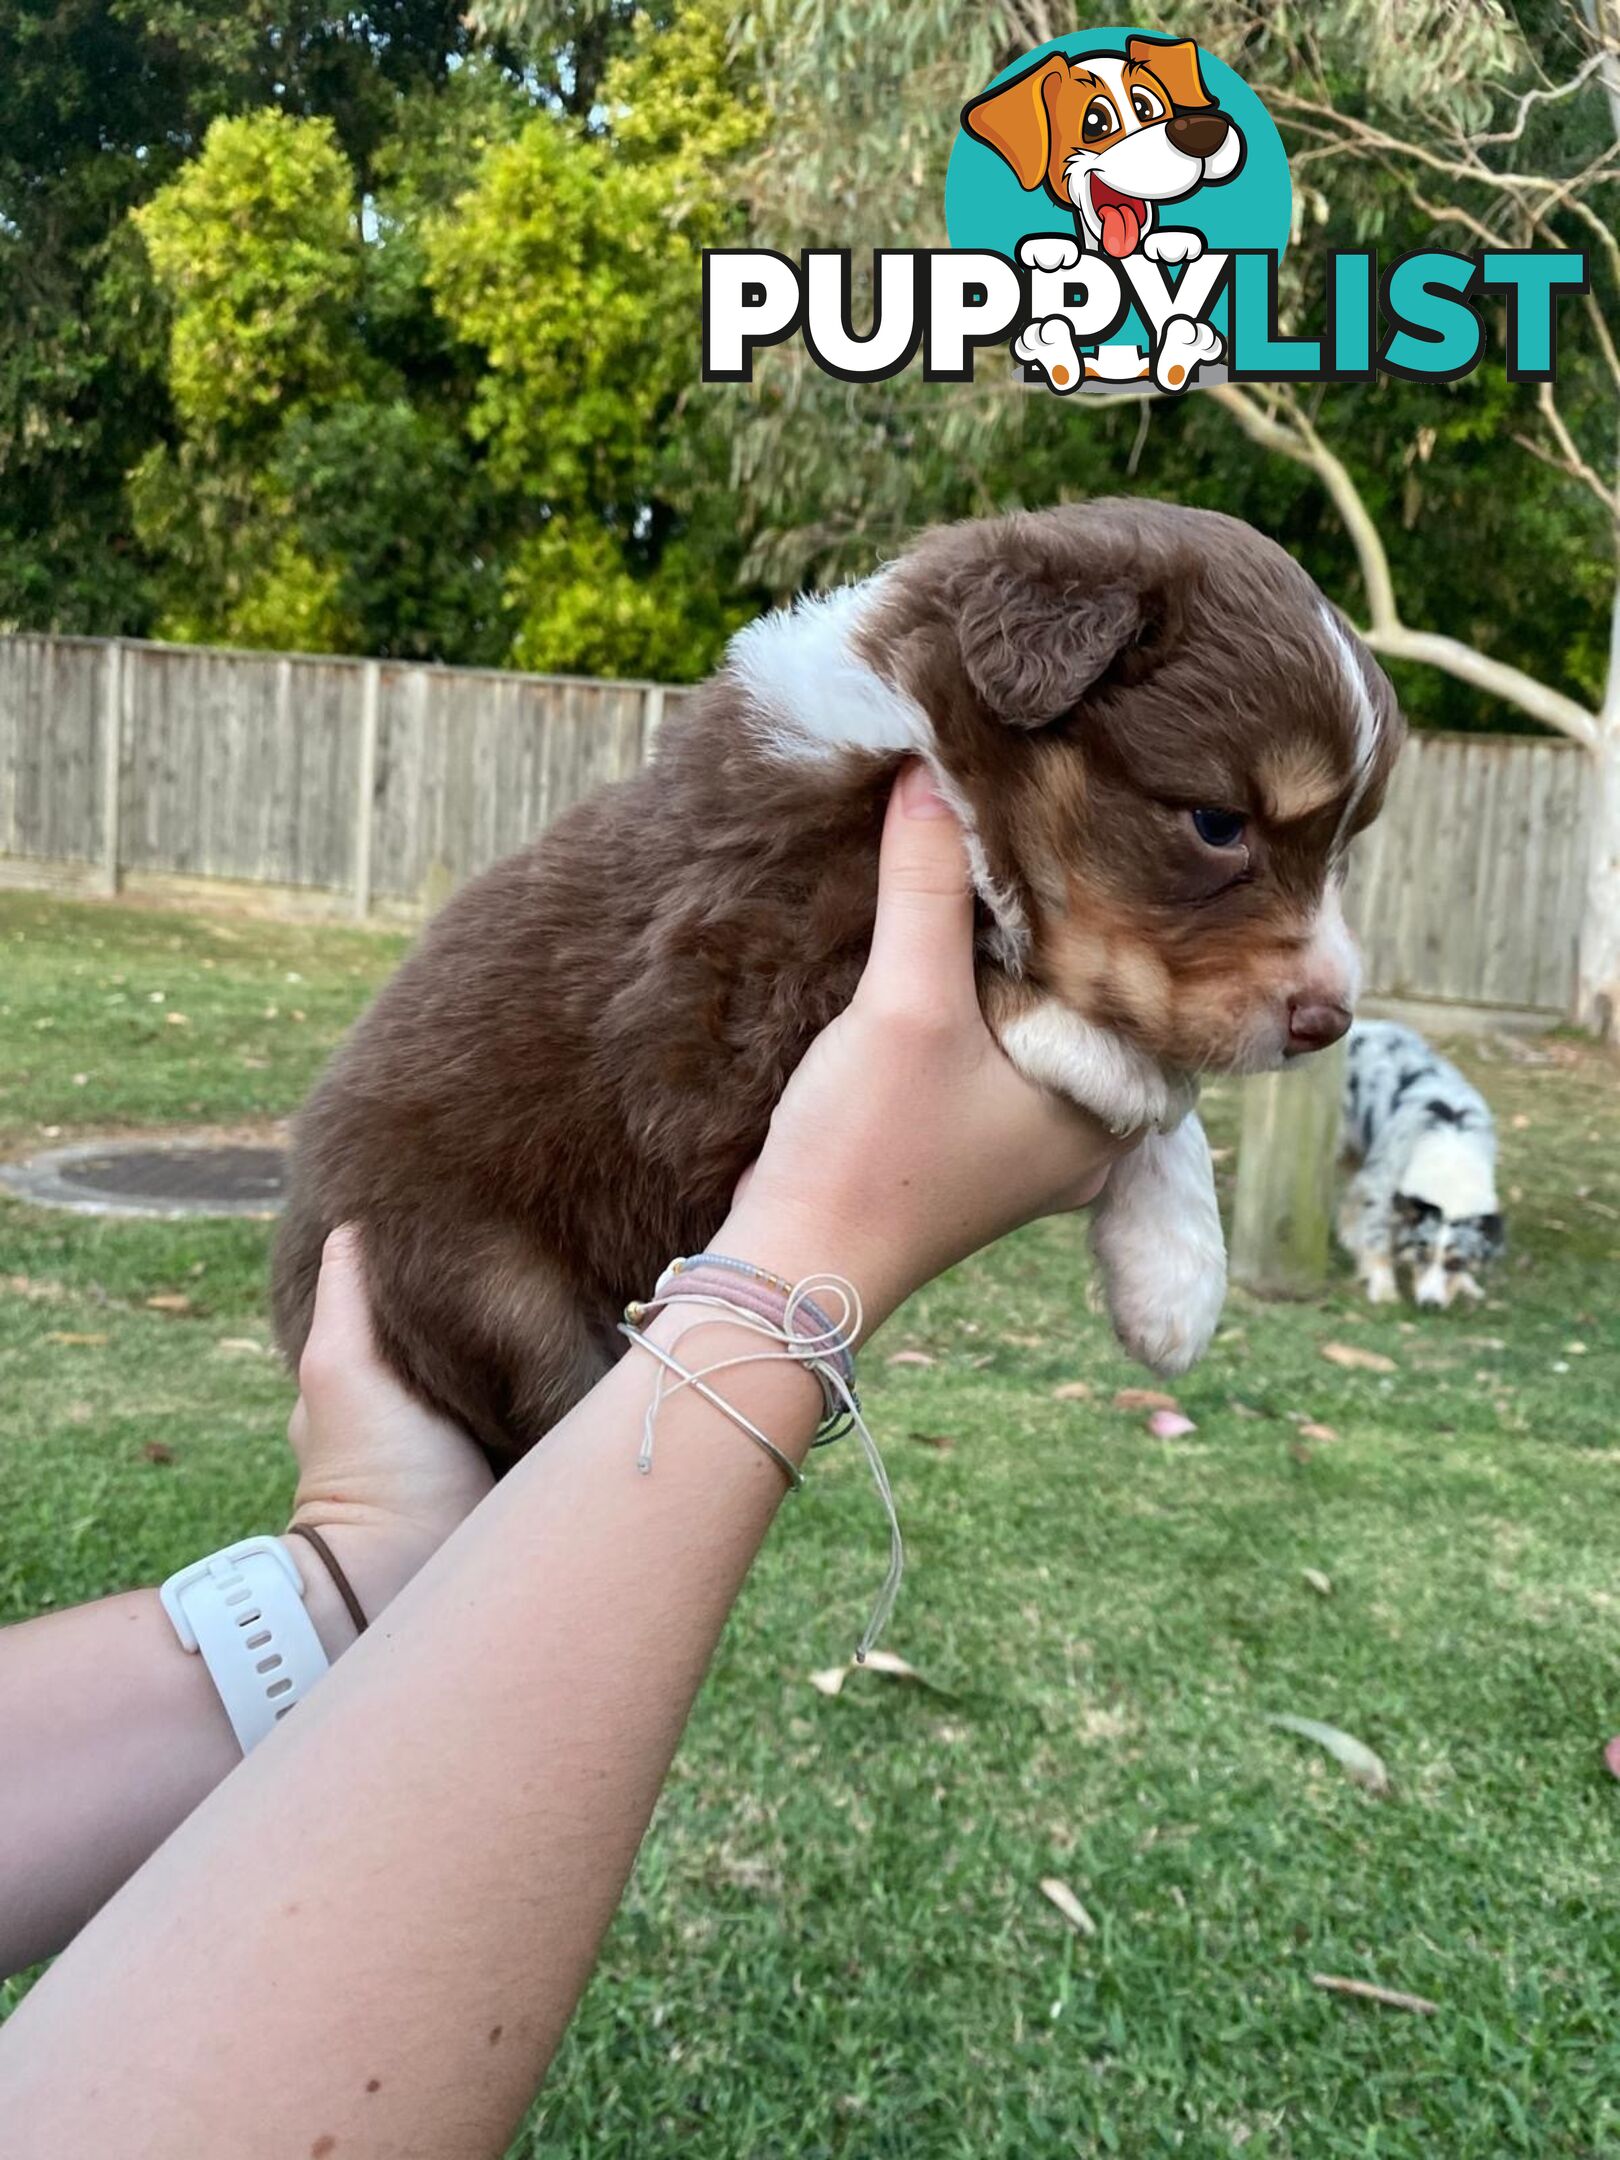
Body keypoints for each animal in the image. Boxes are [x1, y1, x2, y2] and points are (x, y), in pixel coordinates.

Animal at [273, 496, 1399, 1460]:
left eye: (1343, 852)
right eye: (1217, 824)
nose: (1328, 1020)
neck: (927, 737)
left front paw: (1175, 1283)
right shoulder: (722, 1001)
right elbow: (983, 961)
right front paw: (1106, 1059)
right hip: (492, 1284)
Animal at [1347, 1019, 1512, 1304]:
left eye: (1456, 1263)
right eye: (1421, 1254)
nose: (1429, 1305)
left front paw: (1467, 1285)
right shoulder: (1380, 1184)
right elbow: (1377, 1236)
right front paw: (1383, 1287)